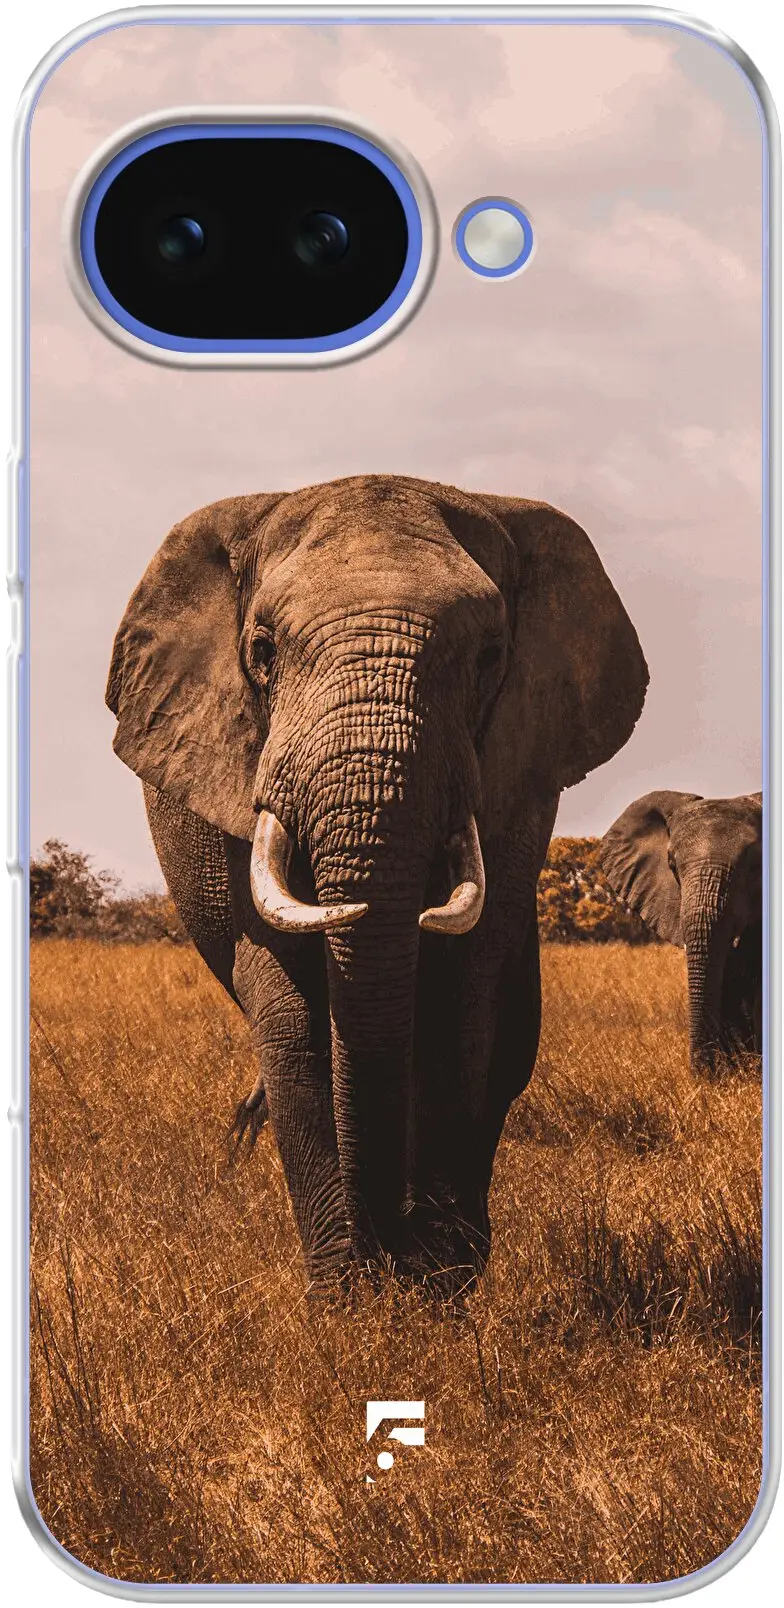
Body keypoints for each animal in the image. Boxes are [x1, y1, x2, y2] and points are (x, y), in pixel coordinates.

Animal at [107, 474, 648, 1292]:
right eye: (262, 652)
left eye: (490, 656)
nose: (389, 1251)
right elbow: (293, 1016)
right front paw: (349, 1300)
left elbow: (463, 1000)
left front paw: (438, 1289)